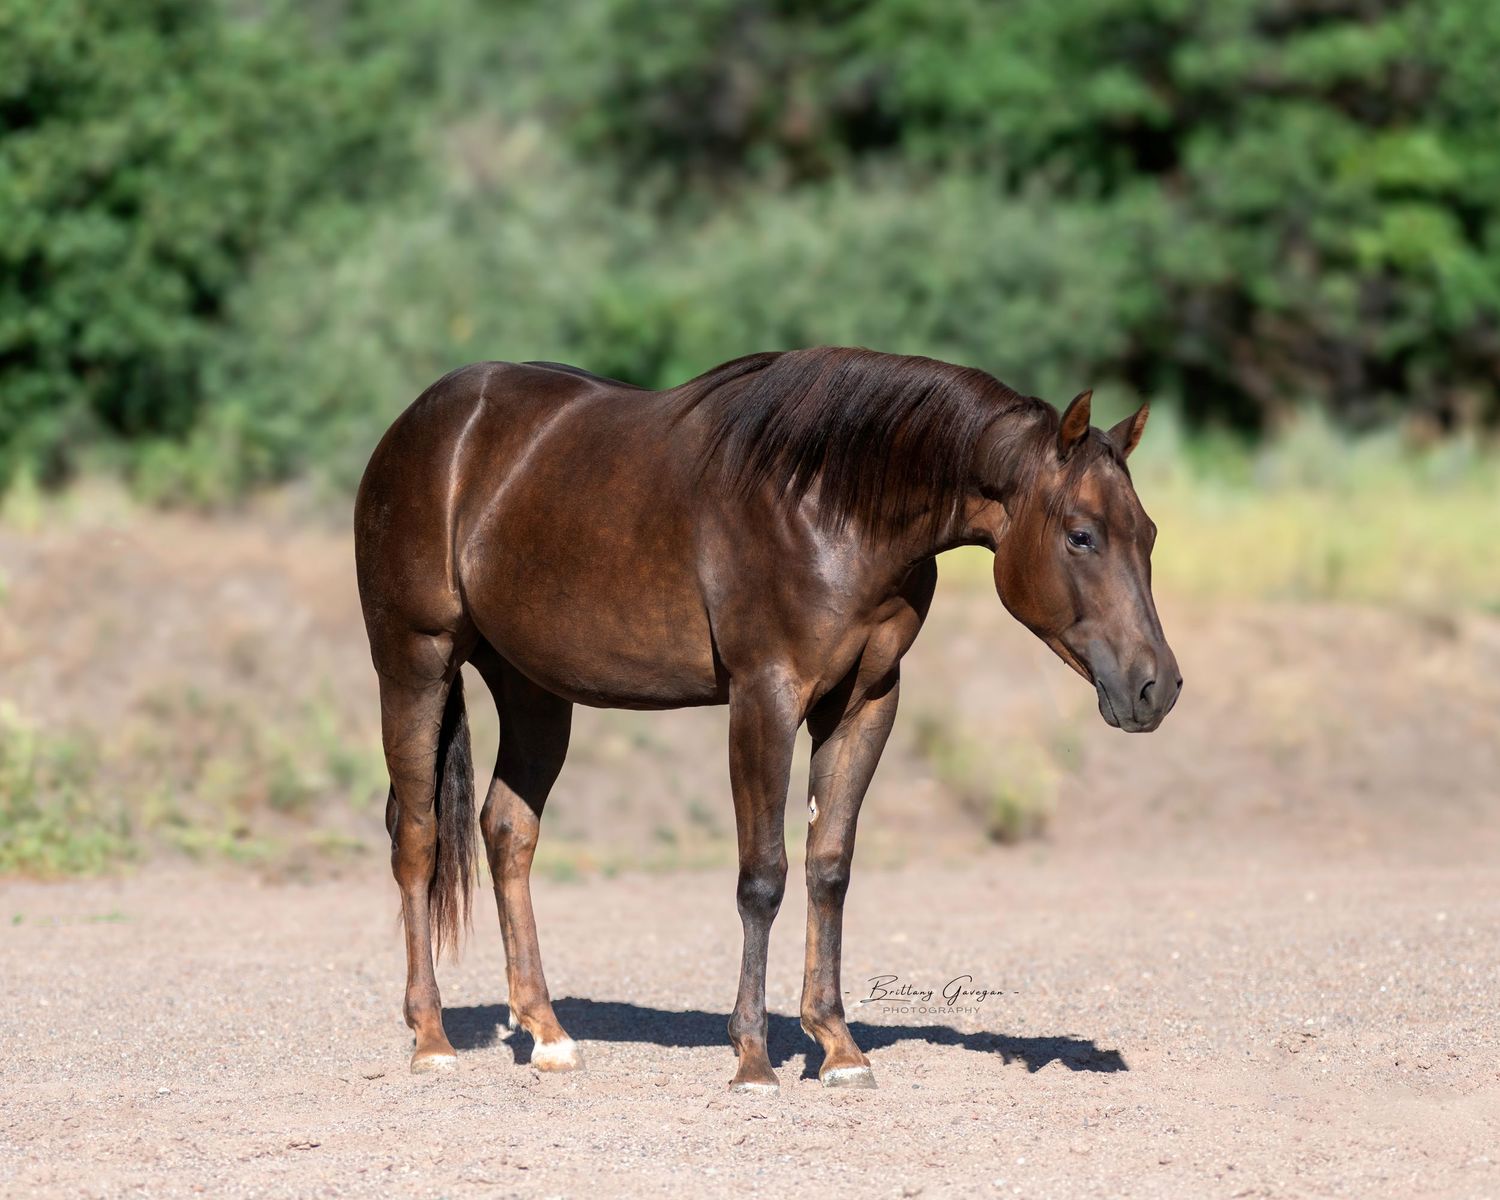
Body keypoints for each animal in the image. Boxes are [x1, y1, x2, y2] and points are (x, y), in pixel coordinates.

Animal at [353, 346, 1181, 1092]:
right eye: (1081, 534)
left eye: (1148, 534)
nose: (1157, 687)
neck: (831, 509)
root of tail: (421, 426)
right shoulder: (765, 697)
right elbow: (763, 876)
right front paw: (752, 1057)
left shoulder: (865, 702)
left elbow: (828, 868)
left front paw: (838, 1045)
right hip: (415, 665)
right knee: (418, 841)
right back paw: (430, 1038)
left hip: (533, 689)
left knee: (507, 830)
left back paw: (547, 1031)